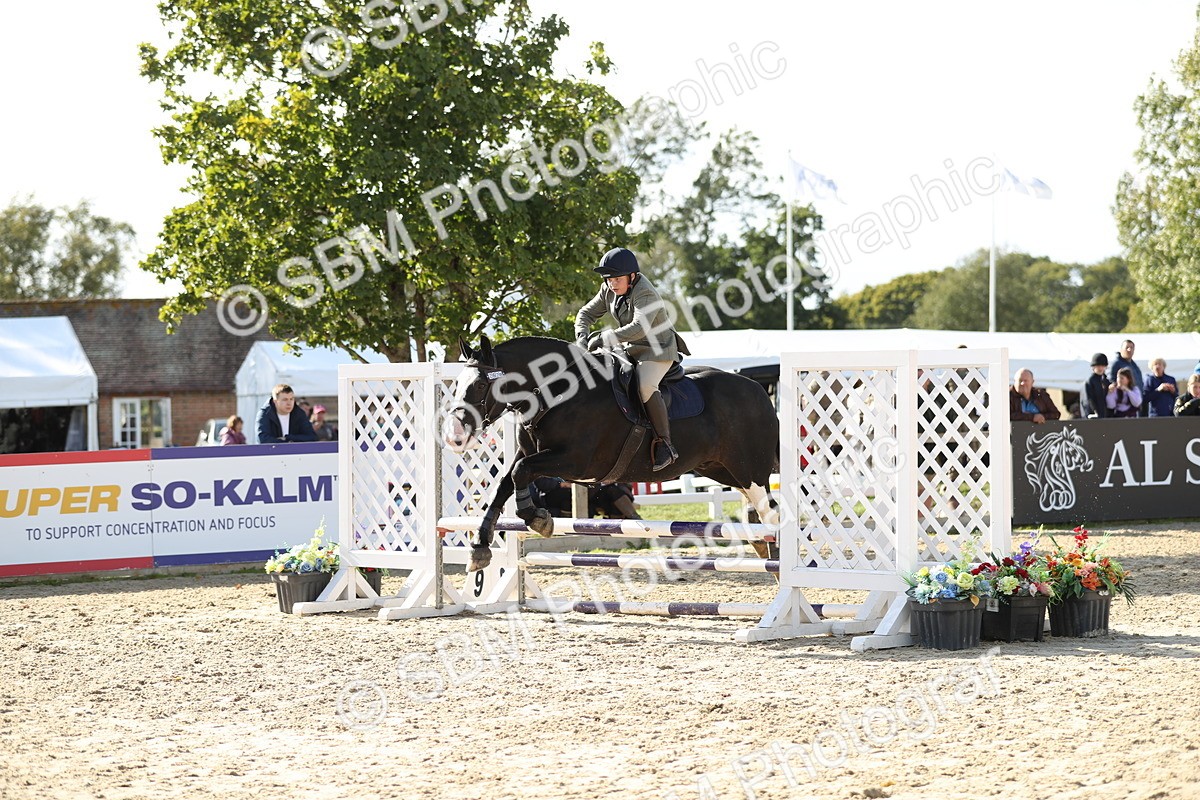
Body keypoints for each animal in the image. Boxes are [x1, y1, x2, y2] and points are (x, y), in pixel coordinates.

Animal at [443, 335, 781, 571]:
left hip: (750, 471)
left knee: (772, 514)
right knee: (757, 519)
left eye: (479, 386)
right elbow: (505, 483)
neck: (557, 392)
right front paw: (480, 547)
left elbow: (520, 471)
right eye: (457, 384)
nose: (454, 436)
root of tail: (759, 391)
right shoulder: (531, 454)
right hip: (723, 470)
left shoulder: (575, 462)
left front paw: (538, 519)